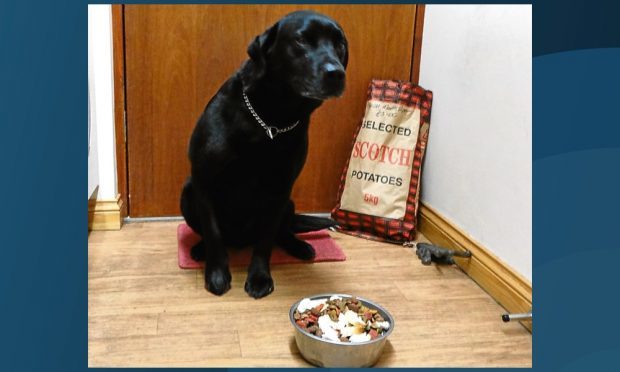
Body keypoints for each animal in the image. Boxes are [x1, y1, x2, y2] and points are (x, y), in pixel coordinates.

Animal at [182, 11, 348, 300]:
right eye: (302, 40)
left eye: (340, 44)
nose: (336, 73)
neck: (272, 118)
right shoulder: (203, 180)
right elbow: (213, 233)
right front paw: (217, 274)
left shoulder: (280, 189)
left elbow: (266, 240)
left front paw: (259, 277)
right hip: (188, 193)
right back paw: (201, 249)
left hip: (289, 203)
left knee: (282, 231)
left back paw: (299, 246)